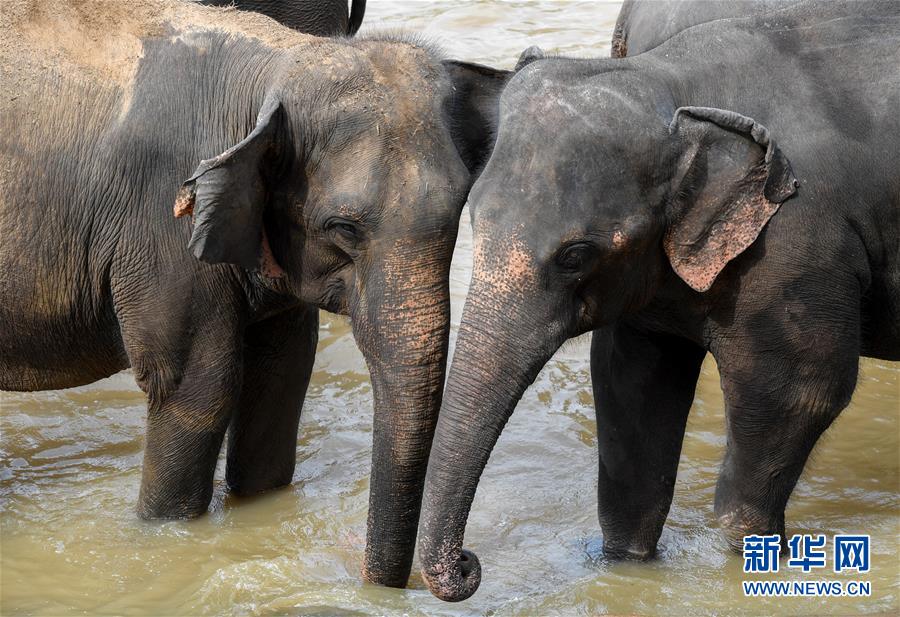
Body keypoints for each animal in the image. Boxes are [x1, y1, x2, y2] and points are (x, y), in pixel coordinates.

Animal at [0, 0, 512, 588]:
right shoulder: (160, 225)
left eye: (457, 216)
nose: (466, 565)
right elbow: (197, 385)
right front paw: (161, 535)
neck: (275, 68)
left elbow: (283, 371)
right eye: (343, 228)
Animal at [416, 0, 900, 600]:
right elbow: (629, 382)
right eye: (474, 220)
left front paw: (754, 554)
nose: (468, 564)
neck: (670, 86)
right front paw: (625, 562)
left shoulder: (796, 242)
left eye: (575, 255)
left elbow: (801, 388)